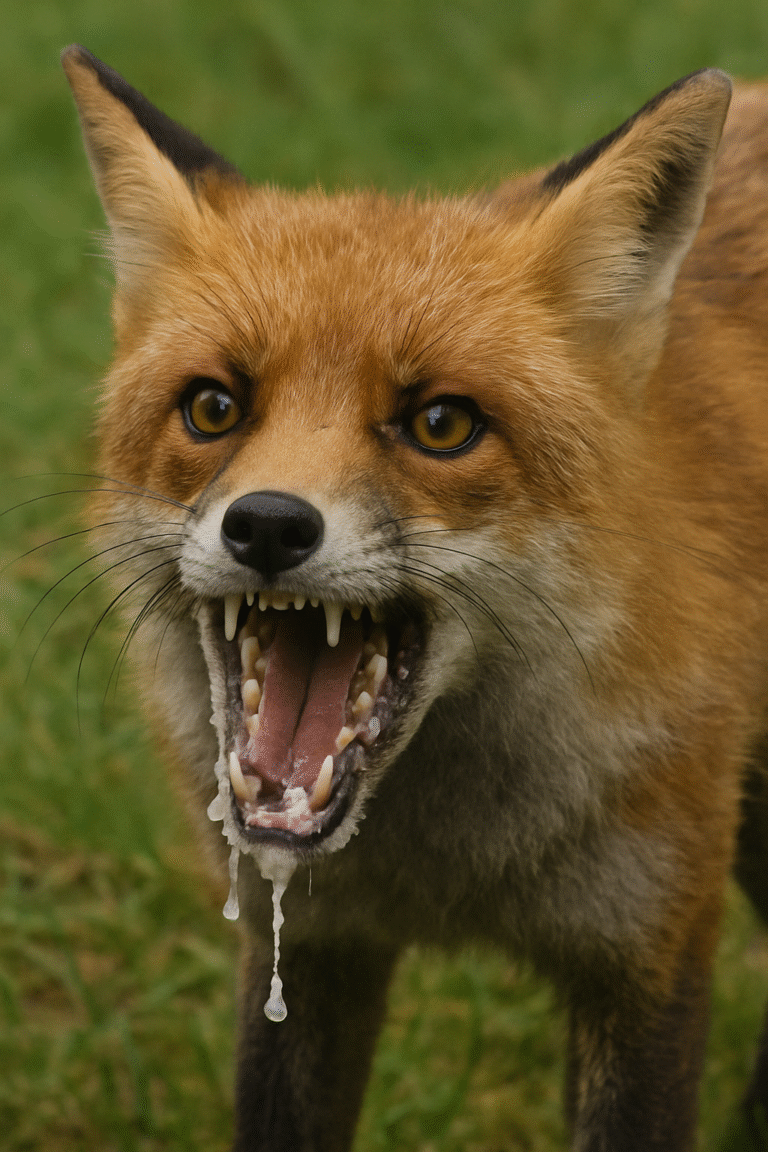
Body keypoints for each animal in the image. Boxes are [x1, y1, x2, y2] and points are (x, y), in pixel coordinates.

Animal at [59, 44, 768, 1151]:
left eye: (441, 423)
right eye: (214, 407)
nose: (268, 525)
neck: (445, 871)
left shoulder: (650, 950)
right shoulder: (302, 944)